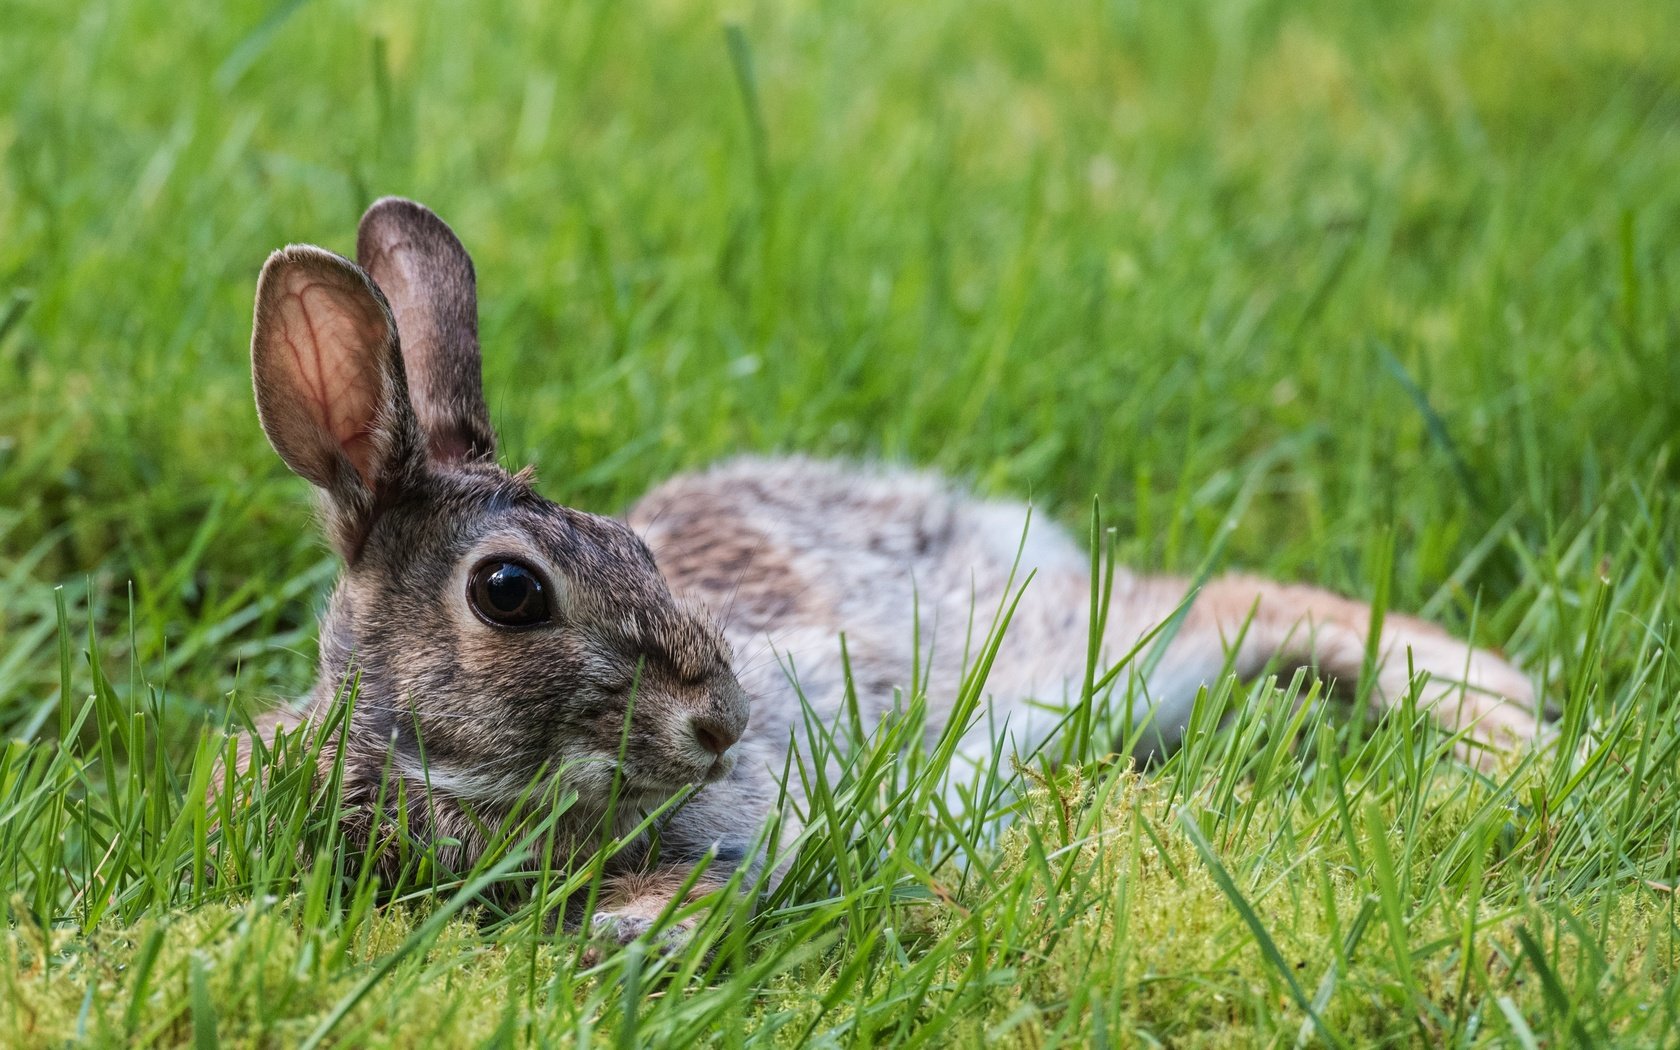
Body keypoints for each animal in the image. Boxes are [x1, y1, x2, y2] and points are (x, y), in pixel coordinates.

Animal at [243, 194, 1538, 947]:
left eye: (637, 544)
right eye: (508, 592)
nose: (723, 722)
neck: (443, 778)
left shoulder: (745, 818)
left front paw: (642, 928)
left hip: (1073, 655)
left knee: (1220, 603)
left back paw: (1505, 723)